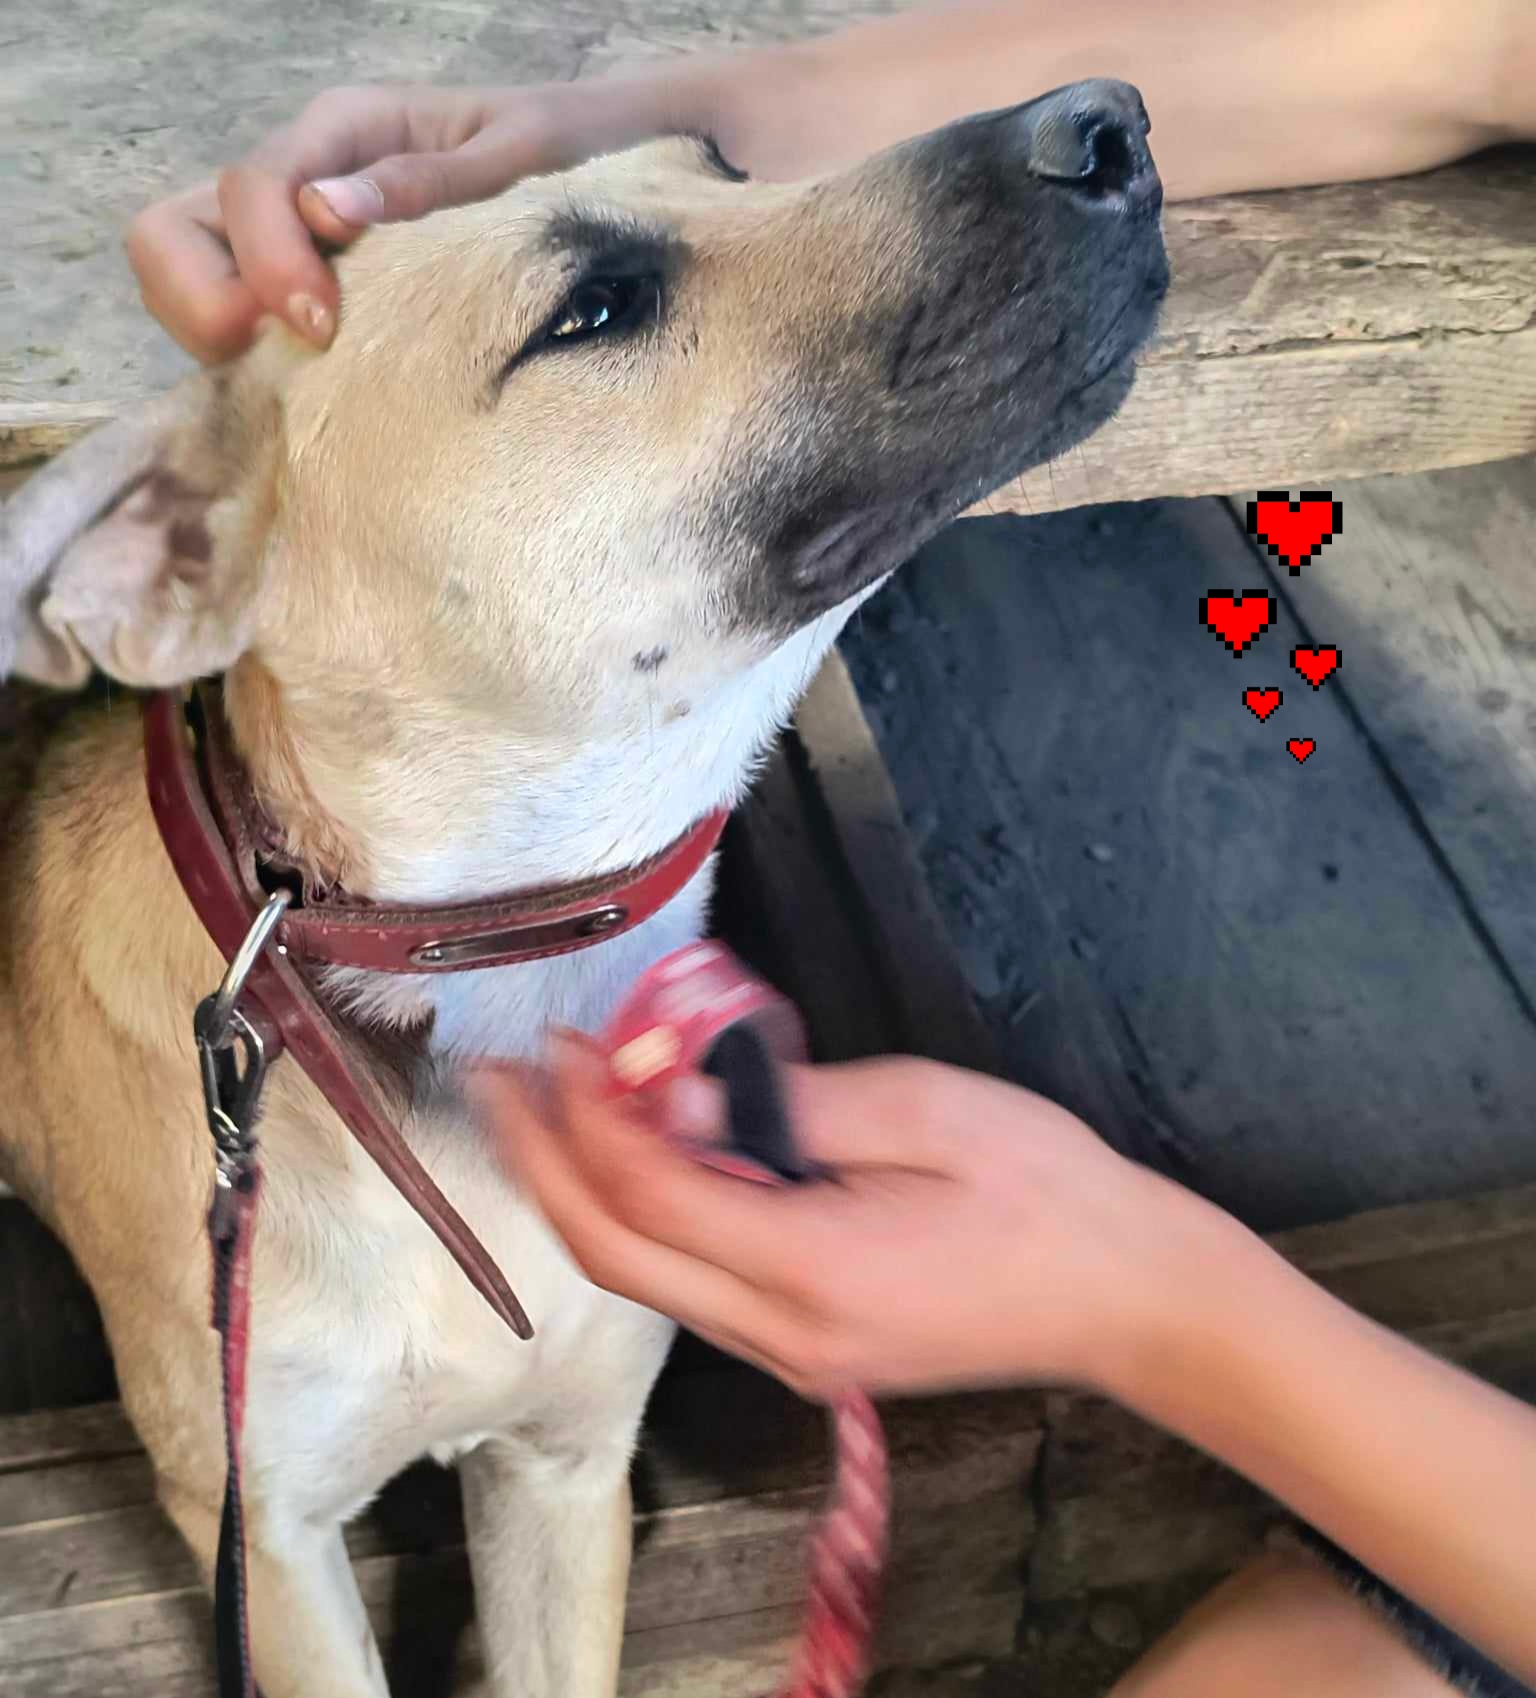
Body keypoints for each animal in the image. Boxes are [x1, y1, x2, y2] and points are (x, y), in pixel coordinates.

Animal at [0, 80, 1166, 1698]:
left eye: (726, 164)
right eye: (595, 308)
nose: (1111, 120)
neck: (475, 979)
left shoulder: (569, 1463)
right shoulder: (271, 1539)